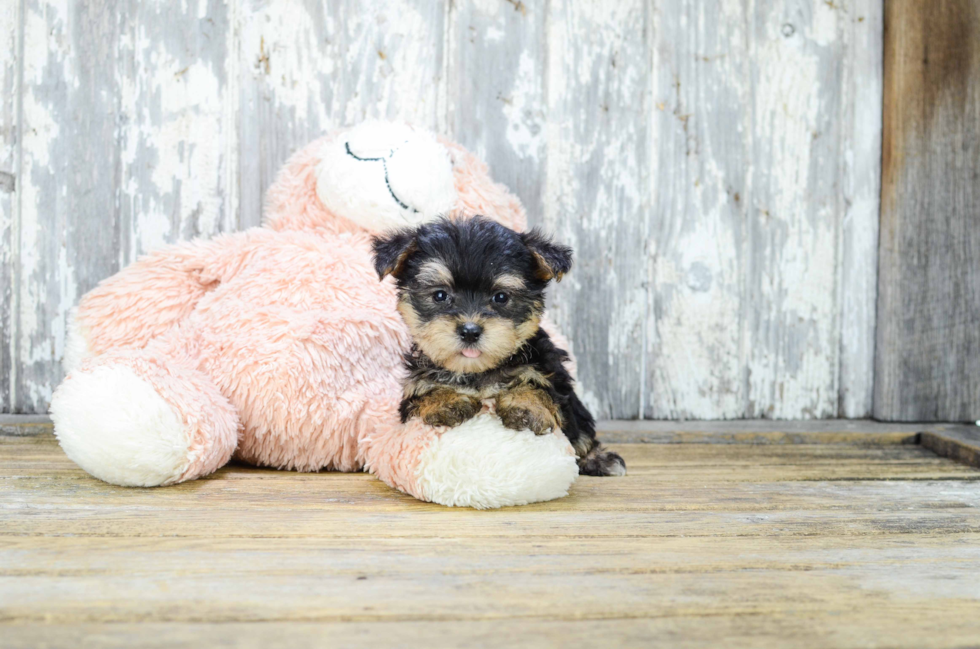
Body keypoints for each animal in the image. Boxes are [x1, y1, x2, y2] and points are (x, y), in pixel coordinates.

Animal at [372, 215, 624, 474]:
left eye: (501, 297)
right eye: (440, 295)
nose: (470, 331)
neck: (477, 372)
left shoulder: (551, 372)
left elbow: (541, 388)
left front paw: (526, 406)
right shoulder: (414, 387)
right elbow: (424, 391)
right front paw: (445, 401)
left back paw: (599, 458)